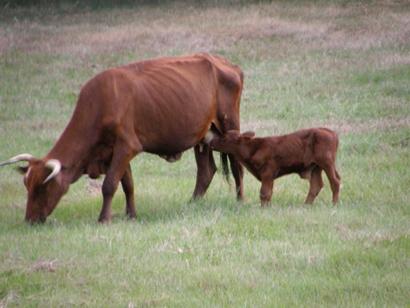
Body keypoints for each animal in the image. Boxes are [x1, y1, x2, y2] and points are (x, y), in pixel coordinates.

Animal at [0, 53, 243, 224]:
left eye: (42, 188)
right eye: (27, 186)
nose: (30, 220)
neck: (100, 102)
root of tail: (226, 63)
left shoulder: (127, 146)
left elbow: (109, 185)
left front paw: (103, 219)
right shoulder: (114, 152)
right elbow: (128, 184)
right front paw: (131, 215)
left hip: (230, 126)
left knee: (236, 165)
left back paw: (240, 201)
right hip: (202, 136)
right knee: (206, 171)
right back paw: (192, 204)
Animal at [208, 127, 340, 207]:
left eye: (224, 138)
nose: (211, 142)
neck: (254, 148)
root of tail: (330, 131)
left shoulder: (268, 172)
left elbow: (264, 192)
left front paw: (263, 209)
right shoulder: (269, 176)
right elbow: (269, 193)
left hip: (326, 163)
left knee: (335, 181)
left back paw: (334, 204)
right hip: (315, 167)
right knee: (316, 185)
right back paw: (306, 205)